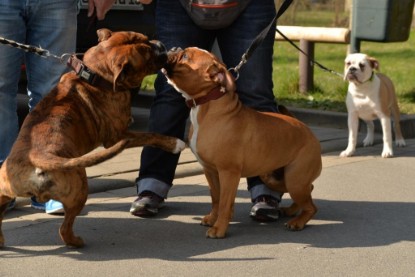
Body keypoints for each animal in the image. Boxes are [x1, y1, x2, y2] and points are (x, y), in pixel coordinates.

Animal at [0, 29, 185, 247]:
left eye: (146, 39)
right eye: (147, 53)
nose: (161, 45)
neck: (96, 75)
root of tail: (37, 157)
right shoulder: (118, 136)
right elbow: (150, 135)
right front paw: (173, 143)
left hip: (3, 192)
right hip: (79, 190)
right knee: (64, 228)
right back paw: (76, 241)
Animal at [161, 47, 324, 237]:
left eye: (186, 56)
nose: (174, 48)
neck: (207, 104)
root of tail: (307, 130)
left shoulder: (228, 173)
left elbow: (225, 203)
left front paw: (219, 228)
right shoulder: (210, 171)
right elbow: (216, 198)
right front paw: (212, 218)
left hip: (294, 180)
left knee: (311, 206)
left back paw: (297, 222)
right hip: (278, 178)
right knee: (309, 190)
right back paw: (291, 211)